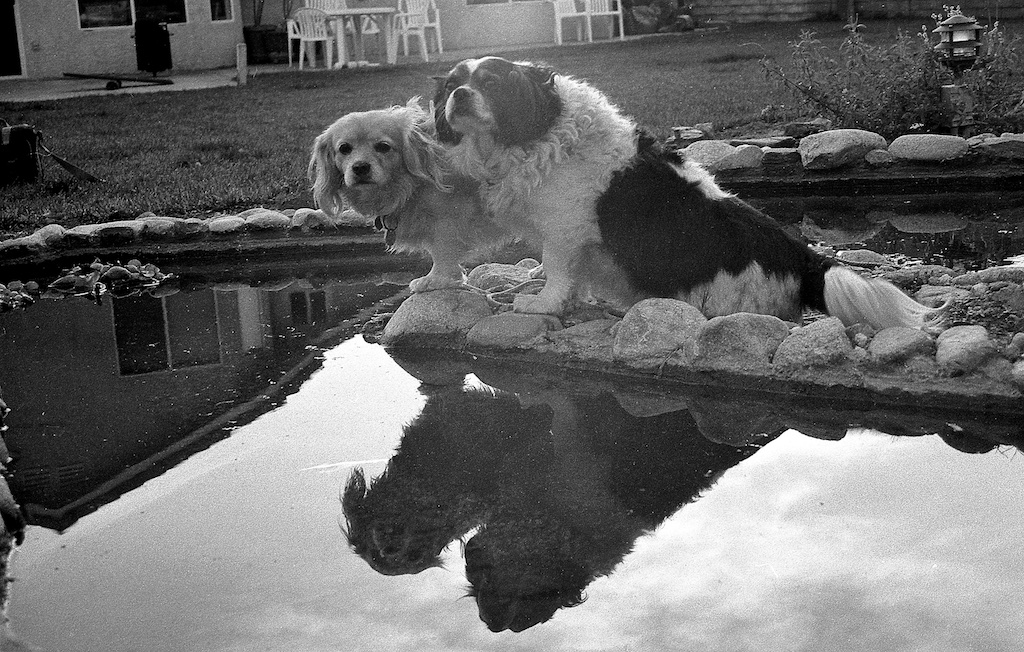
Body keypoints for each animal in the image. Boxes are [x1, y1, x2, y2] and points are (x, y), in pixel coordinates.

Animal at [305, 99, 509, 292]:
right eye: (344, 148)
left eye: (383, 147)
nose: (360, 167)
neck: (410, 184)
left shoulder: (446, 220)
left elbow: (442, 251)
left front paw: (435, 279)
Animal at [432, 54, 942, 329]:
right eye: (454, 84)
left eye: (490, 85)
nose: (459, 95)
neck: (540, 128)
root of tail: (804, 258)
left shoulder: (564, 229)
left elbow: (558, 272)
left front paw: (541, 303)